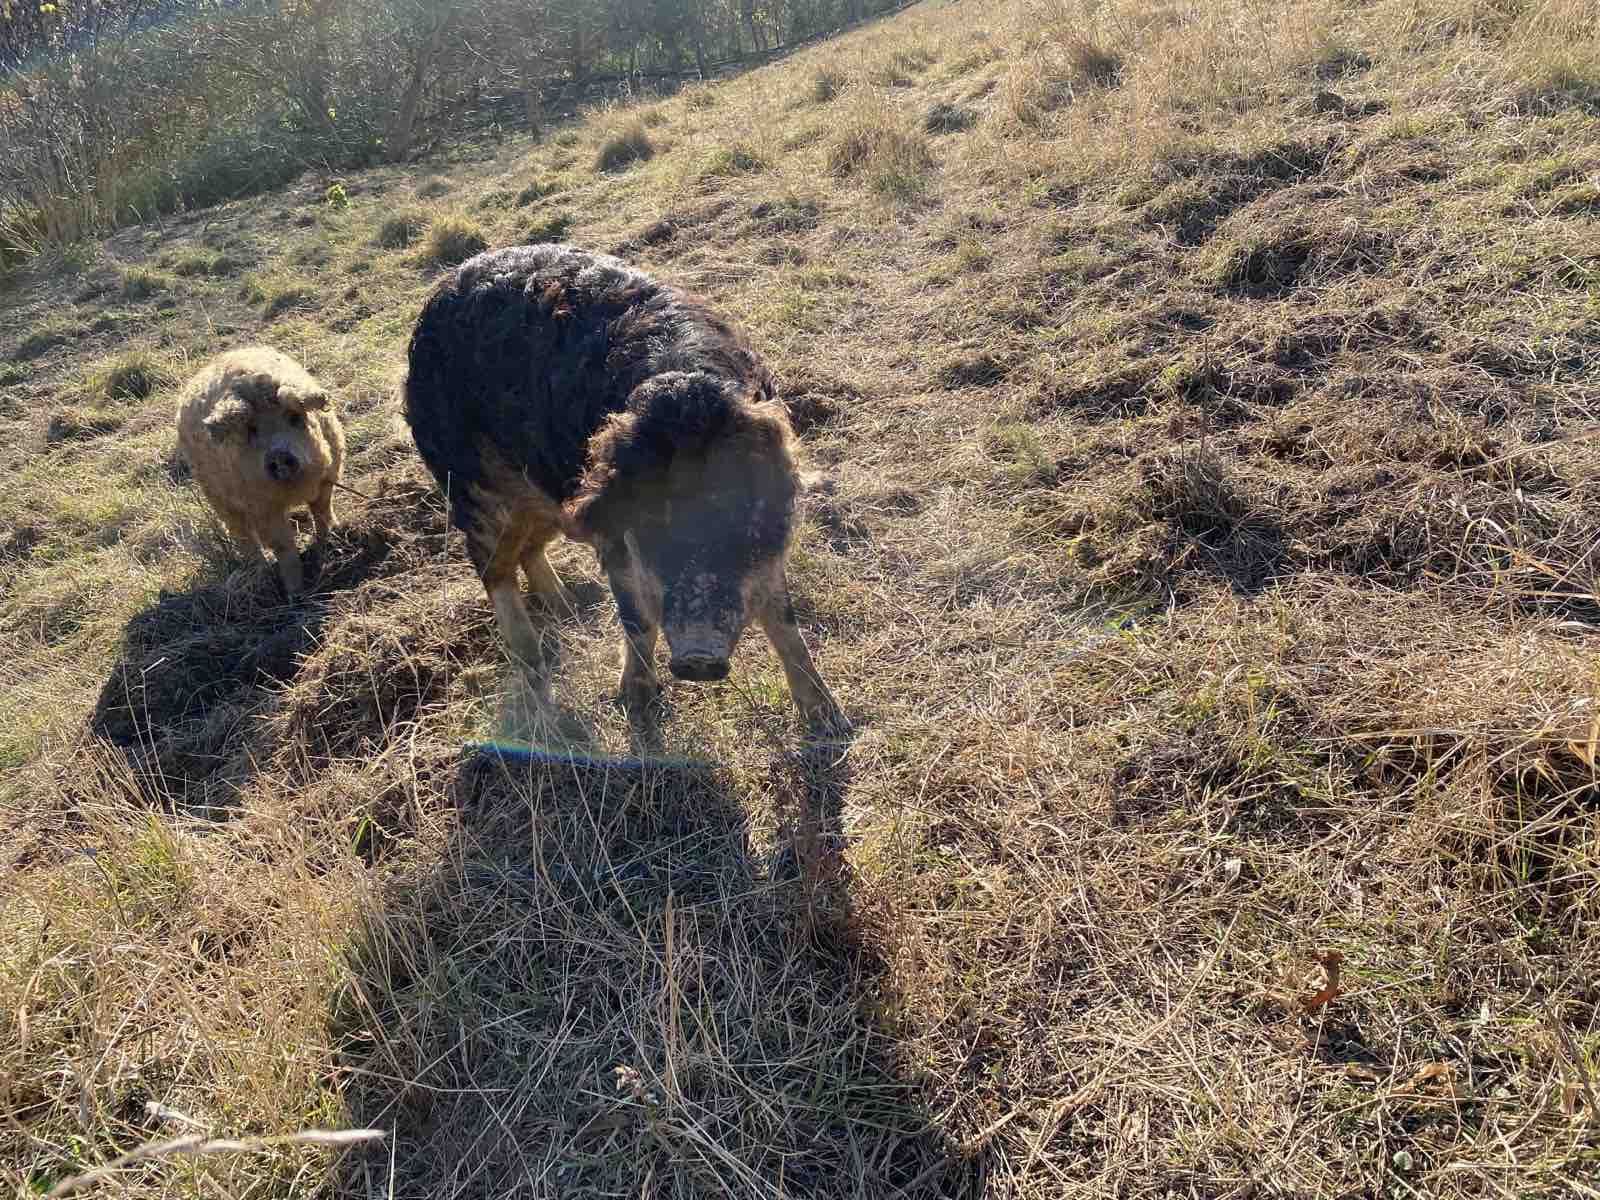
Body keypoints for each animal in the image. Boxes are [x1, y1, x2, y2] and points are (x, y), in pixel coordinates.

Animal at [175, 347, 347, 598]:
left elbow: (323, 513)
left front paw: (333, 540)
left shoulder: (328, 478)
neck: (294, 490)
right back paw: (261, 572)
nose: (278, 454)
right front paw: (295, 594)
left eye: (294, 417)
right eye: (252, 429)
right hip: (218, 498)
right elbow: (284, 546)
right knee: (242, 534)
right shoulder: (262, 507)